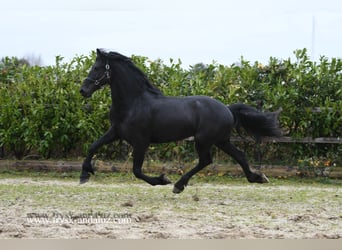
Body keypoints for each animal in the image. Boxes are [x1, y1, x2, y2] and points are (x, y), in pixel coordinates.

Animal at [79, 48, 280, 193]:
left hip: (204, 140)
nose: (83, 90)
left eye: (96, 68)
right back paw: (258, 178)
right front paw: (84, 175)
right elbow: (93, 146)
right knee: (239, 156)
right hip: (221, 140)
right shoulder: (116, 132)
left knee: (206, 161)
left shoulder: (141, 141)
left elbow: (137, 170)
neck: (134, 102)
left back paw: (178, 185)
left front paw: (162, 180)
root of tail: (228, 109)